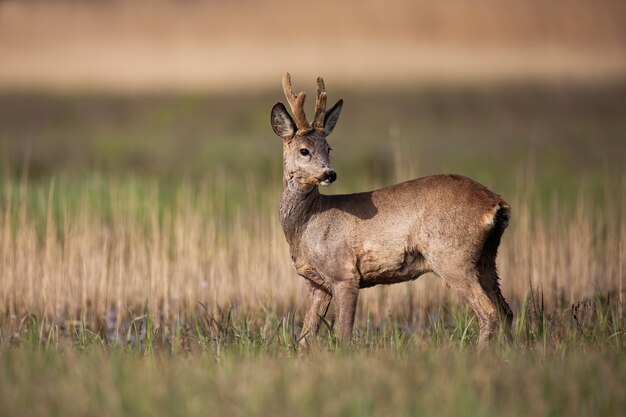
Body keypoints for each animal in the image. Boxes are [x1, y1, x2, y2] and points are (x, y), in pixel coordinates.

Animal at [270, 73, 512, 346]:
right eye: (304, 150)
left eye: (328, 148)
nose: (329, 174)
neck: (307, 225)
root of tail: (495, 203)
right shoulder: (317, 283)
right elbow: (304, 338)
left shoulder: (344, 273)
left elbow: (343, 333)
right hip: (486, 258)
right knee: (507, 312)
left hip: (452, 255)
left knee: (489, 311)